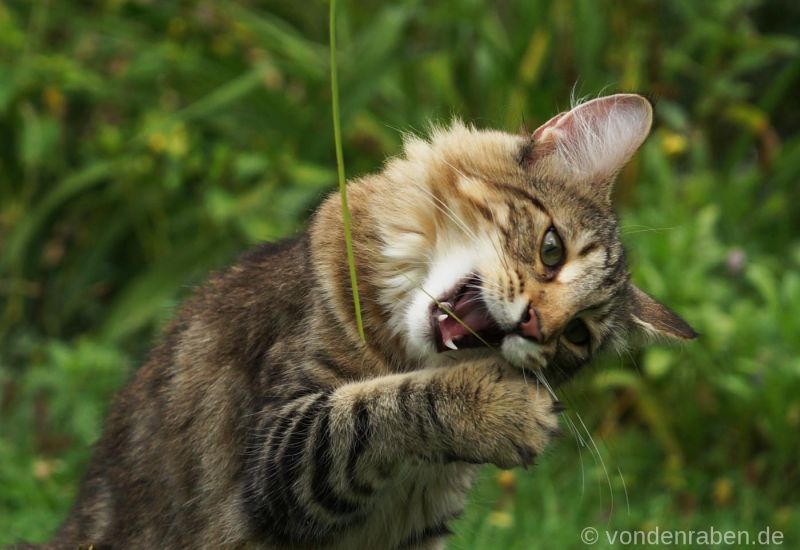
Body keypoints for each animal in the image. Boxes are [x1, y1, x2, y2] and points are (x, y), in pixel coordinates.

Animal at [18, 92, 692, 548]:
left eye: (577, 337)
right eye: (552, 250)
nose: (535, 327)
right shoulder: (278, 453)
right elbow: (375, 410)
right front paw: (498, 411)